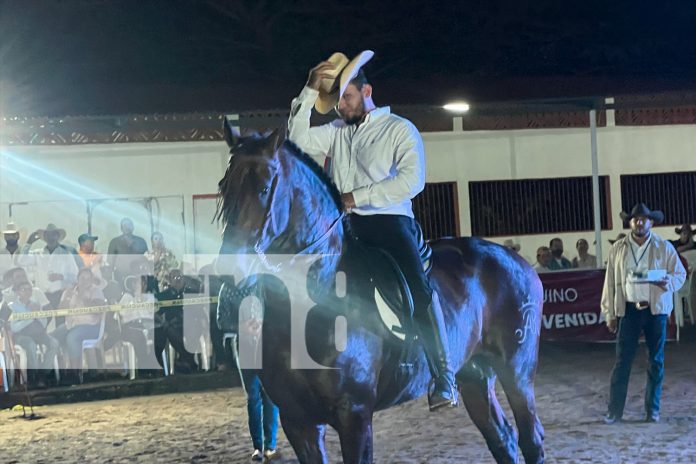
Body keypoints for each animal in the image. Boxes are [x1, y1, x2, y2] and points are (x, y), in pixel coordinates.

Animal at [216, 131, 544, 464]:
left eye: (264, 188)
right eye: (223, 187)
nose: (230, 270)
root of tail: (518, 261)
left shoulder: (355, 415)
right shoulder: (298, 422)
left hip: (517, 373)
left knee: (531, 439)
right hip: (475, 376)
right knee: (503, 439)